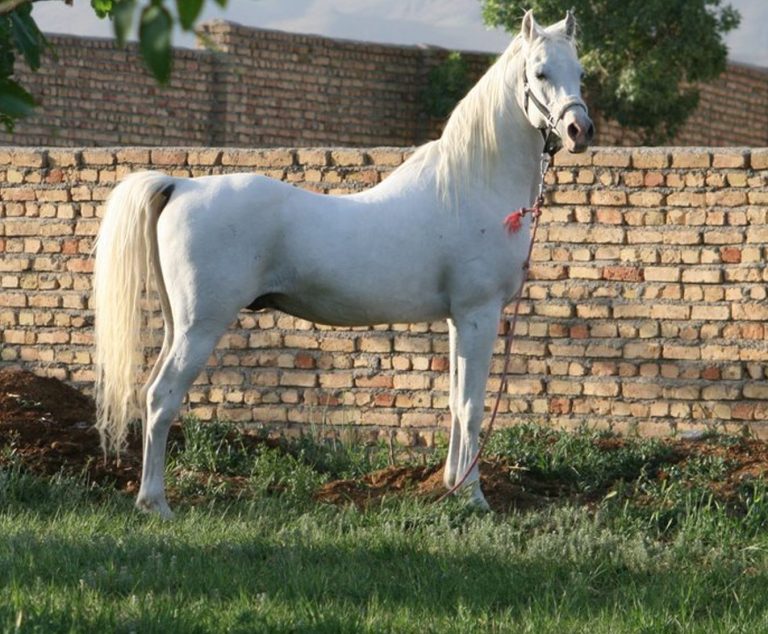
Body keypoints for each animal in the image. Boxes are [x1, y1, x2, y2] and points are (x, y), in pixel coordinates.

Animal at [93, 10, 593, 518]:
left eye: (580, 73)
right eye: (539, 73)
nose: (579, 131)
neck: (470, 186)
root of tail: (180, 184)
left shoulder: (458, 319)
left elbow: (455, 403)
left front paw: (451, 485)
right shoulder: (479, 314)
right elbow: (472, 408)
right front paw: (474, 498)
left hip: (178, 325)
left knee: (149, 393)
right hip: (201, 327)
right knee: (162, 398)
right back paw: (156, 502)